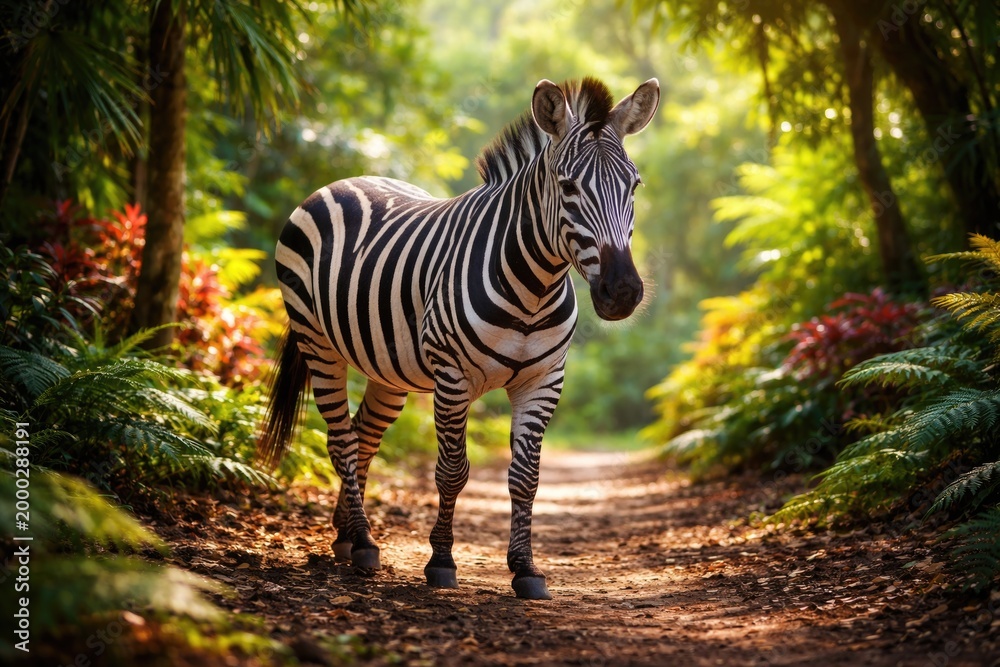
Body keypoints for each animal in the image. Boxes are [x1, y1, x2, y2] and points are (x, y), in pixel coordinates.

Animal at [258, 76, 659, 600]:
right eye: (568, 186)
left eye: (634, 185)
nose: (623, 292)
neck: (534, 287)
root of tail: (343, 182)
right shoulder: (451, 376)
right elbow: (452, 471)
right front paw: (442, 561)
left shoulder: (544, 380)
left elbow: (526, 478)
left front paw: (526, 569)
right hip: (319, 344)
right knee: (341, 440)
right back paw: (363, 542)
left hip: (389, 369)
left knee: (363, 436)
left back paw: (346, 536)